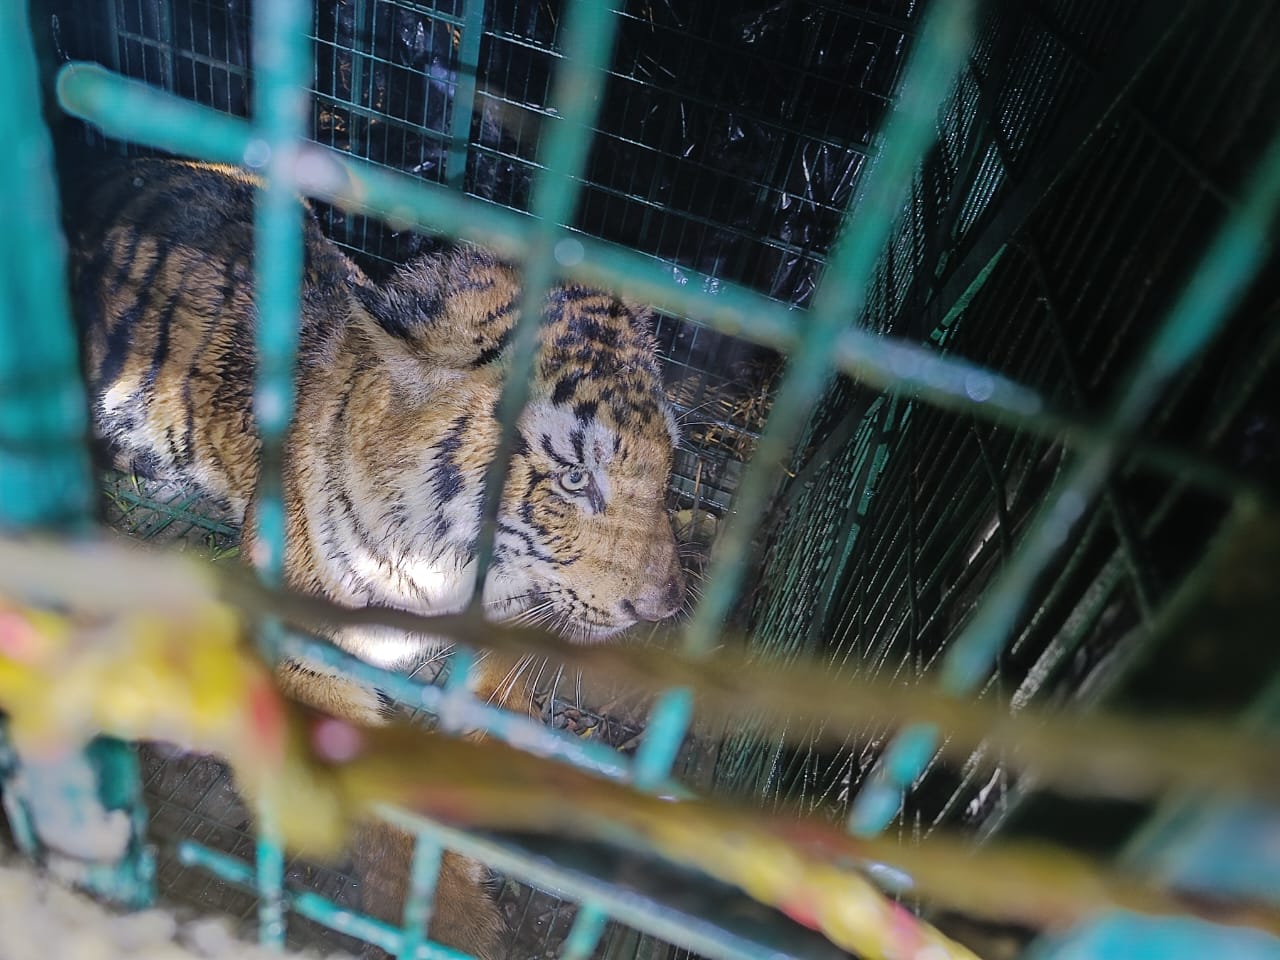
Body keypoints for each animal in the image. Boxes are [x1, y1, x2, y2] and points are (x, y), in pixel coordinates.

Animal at [67, 160, 691, 960]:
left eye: (668, 460)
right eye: (576, 478)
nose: (665, 604)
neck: (449, 574)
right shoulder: (302, 654)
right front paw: (452, 922)